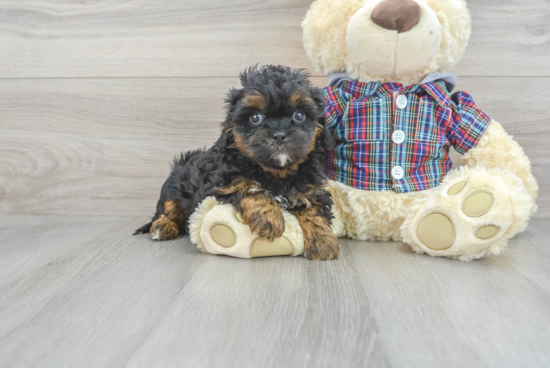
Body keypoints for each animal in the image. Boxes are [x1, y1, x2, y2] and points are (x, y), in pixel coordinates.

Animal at [134, 64, 340, 260]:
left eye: (299, 115)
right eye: (255, 117)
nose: (279, 135)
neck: (276, 172)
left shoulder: (311, 188)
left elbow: (315, 211)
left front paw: (323, 242)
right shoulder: (223, 180)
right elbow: (247, 185)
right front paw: (269, 218)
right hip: (174, 183)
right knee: (168, 209)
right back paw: (162, 227)